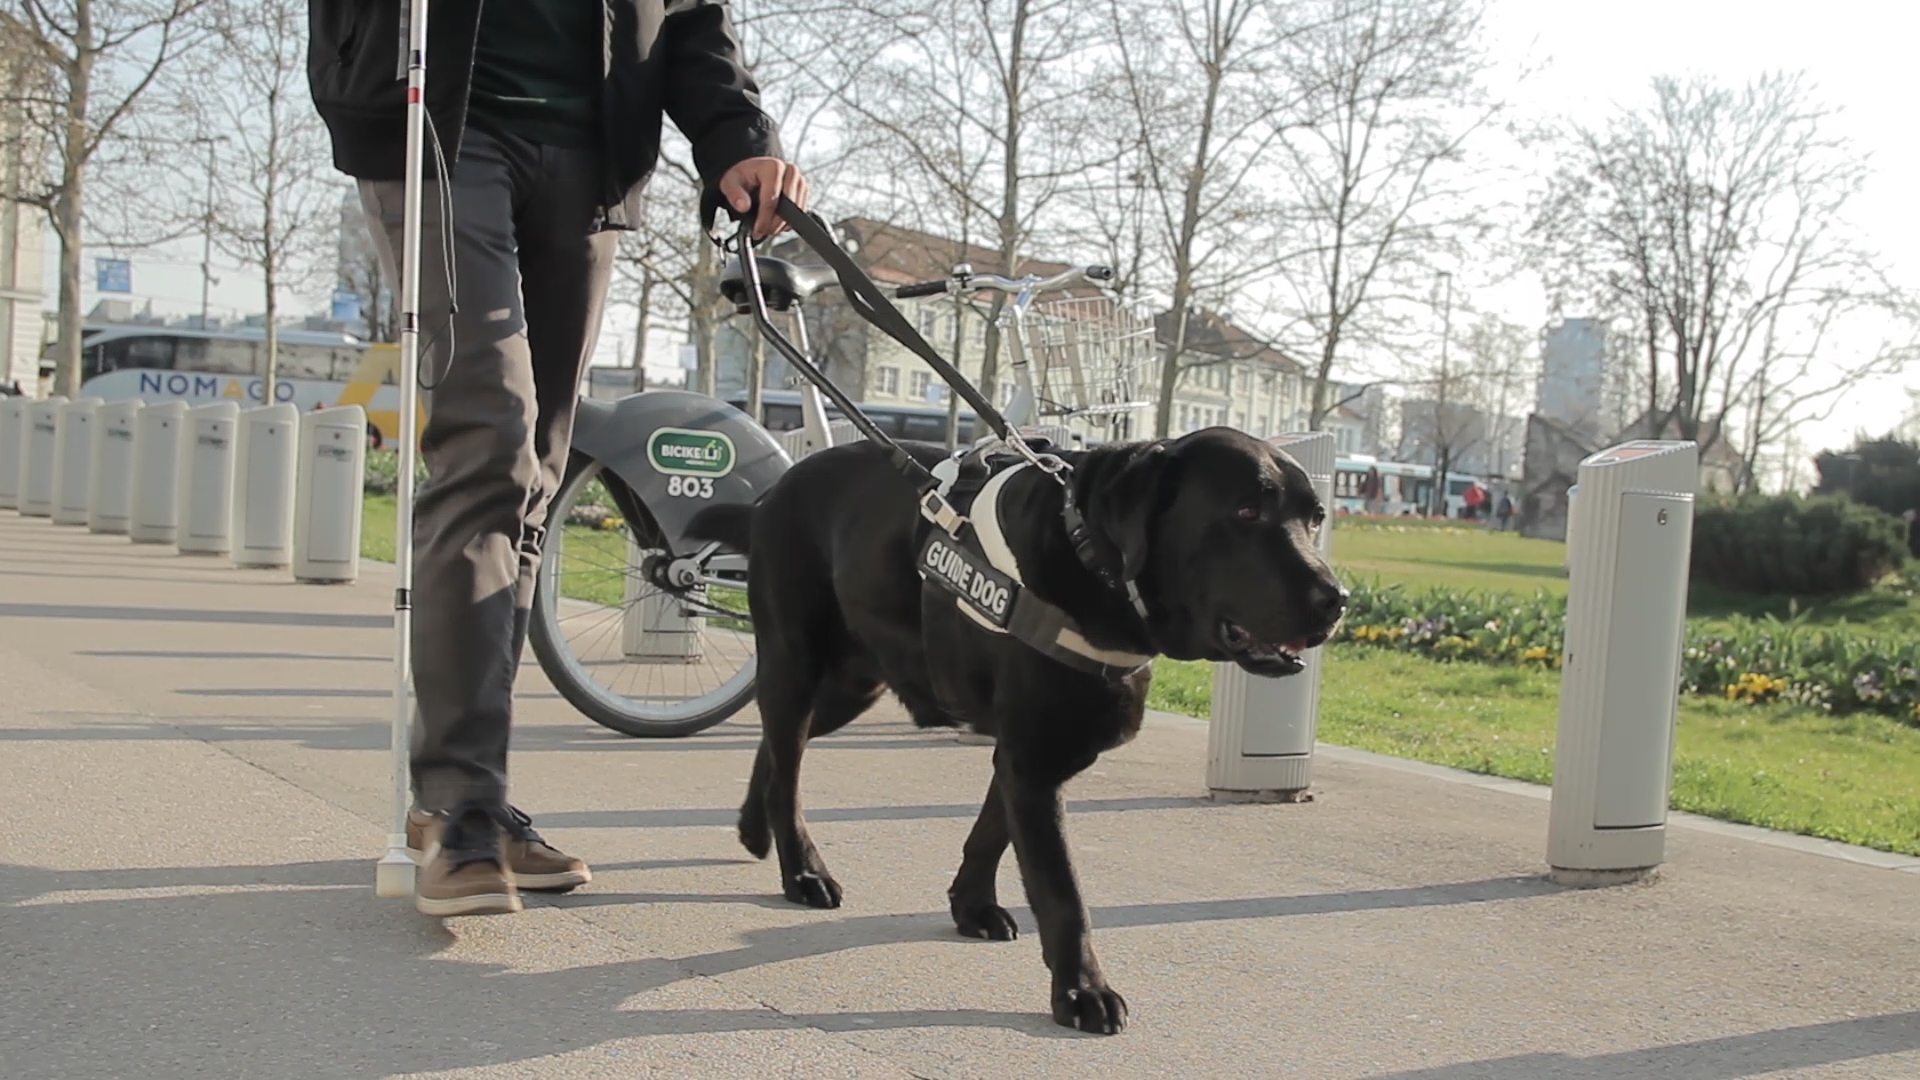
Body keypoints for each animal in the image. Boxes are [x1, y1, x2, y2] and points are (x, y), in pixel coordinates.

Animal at [687, 424, 1336, 1030]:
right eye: (1246, 512)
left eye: (1317, 517)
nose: (1338, 599)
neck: (1090, 560)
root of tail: (772, 494)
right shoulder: (1034, 759)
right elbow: (1062, 891)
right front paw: (1083, 991)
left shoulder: (1030, 753)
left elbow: (990, 834)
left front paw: (971, 907)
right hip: (796, 659)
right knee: (788, 761)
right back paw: (802, 870)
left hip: (854, 682)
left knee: (779, 748)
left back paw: (755, 828)